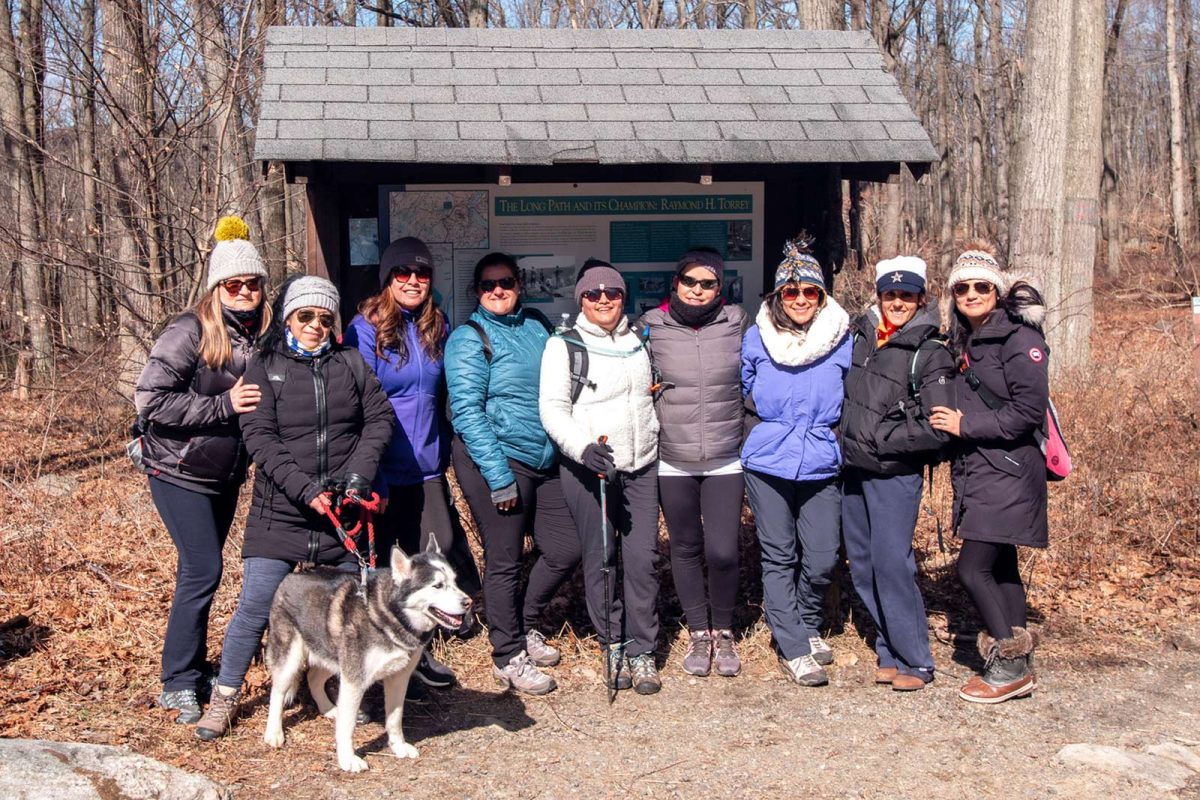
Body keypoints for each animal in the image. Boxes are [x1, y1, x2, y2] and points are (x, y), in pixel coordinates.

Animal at [265, 542, 470, 772]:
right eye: (438, 585)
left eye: (454, 581)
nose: (468, 602)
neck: (388, 617)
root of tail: (292, 576)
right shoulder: (354, 682)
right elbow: (347, 726)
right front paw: (347, 759)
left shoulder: (398, 679)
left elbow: (395, 719)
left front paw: (398, 747)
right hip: (291, 659)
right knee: (277, 693)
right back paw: (273, 733)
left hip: (333, 654)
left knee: (313, 678)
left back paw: (329, 709)